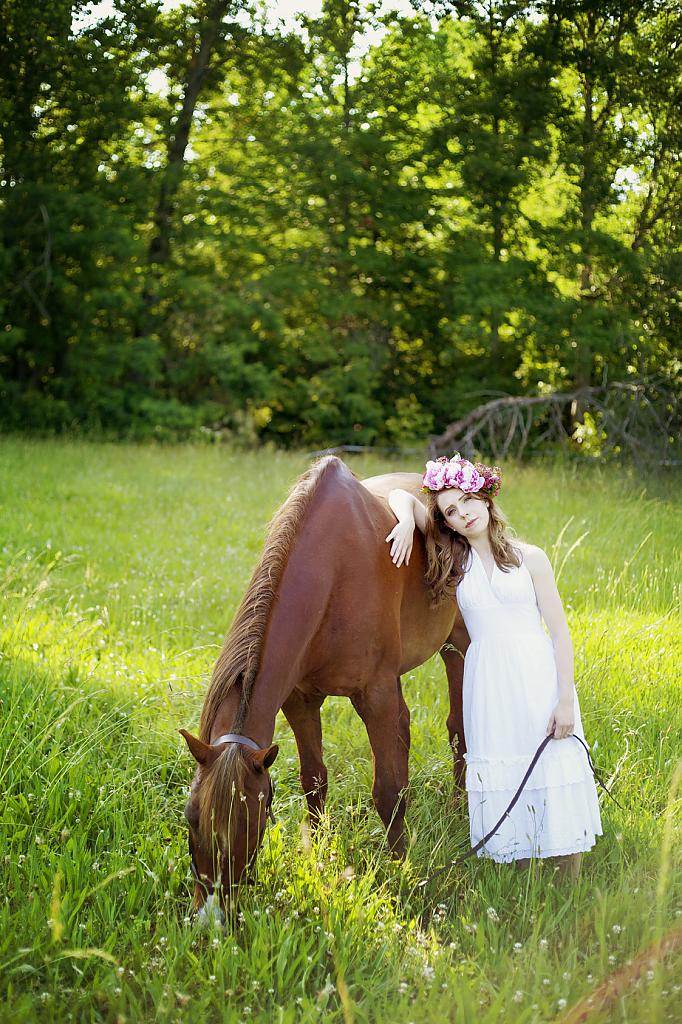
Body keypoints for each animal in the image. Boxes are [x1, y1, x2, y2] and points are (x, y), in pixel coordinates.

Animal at [180, 456, 466, 913]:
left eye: (251, 820)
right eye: (191, 816)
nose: (212, 916)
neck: (332, 572)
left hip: (457, 644)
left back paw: (458, 809)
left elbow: (389, 792)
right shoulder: (300, 700)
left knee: (458, 729)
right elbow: (314, 782)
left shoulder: (377, 697)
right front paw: (313, 857)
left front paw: (402, 871)